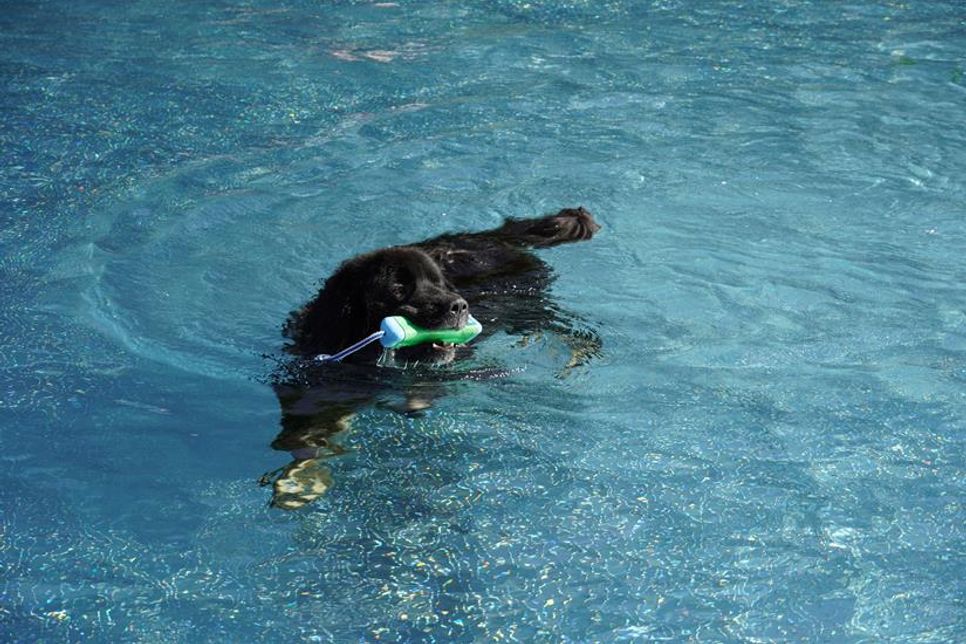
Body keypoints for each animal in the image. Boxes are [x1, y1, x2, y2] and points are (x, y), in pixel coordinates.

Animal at [262, 206, 596, 508]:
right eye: (398, 287)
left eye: (438, 284)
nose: (460, 306)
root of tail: (485, 237)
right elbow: (304, 424)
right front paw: (299, 479)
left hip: (526, 303)